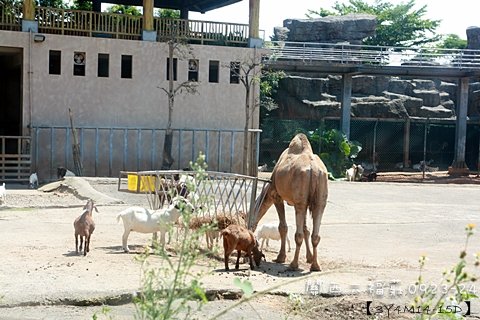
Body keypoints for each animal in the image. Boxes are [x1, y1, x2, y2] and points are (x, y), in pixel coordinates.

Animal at [253, 132, 328, 270]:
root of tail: (313, 169)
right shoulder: (306, 202)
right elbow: (306, 229)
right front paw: (309, 258)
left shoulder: (276, 196)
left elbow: (283, 227)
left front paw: (280, 258)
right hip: (319, 199)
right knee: (315, 234)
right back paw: (315, 266)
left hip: (300, 202)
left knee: (298, 234)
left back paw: (293, 264)